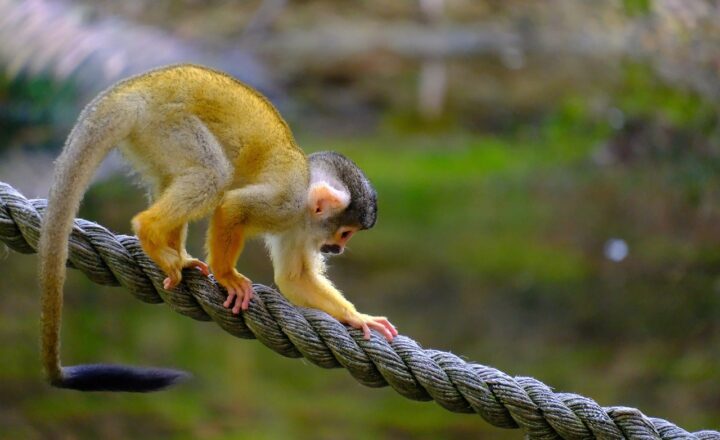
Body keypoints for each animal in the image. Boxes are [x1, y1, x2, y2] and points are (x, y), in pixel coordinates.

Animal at [38, 64, 398, 392]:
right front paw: (227, 276)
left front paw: (356, 317)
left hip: (151, 137)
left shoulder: (298, 228)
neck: (305, 200)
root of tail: (133, 89)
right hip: (168, 123)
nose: (338, 248)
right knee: (213, 176)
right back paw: (149, 230)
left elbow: (294, 278)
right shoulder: (286, 202)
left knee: (175, 177)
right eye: (345, 233)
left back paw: (175, 255)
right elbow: (231, 208)